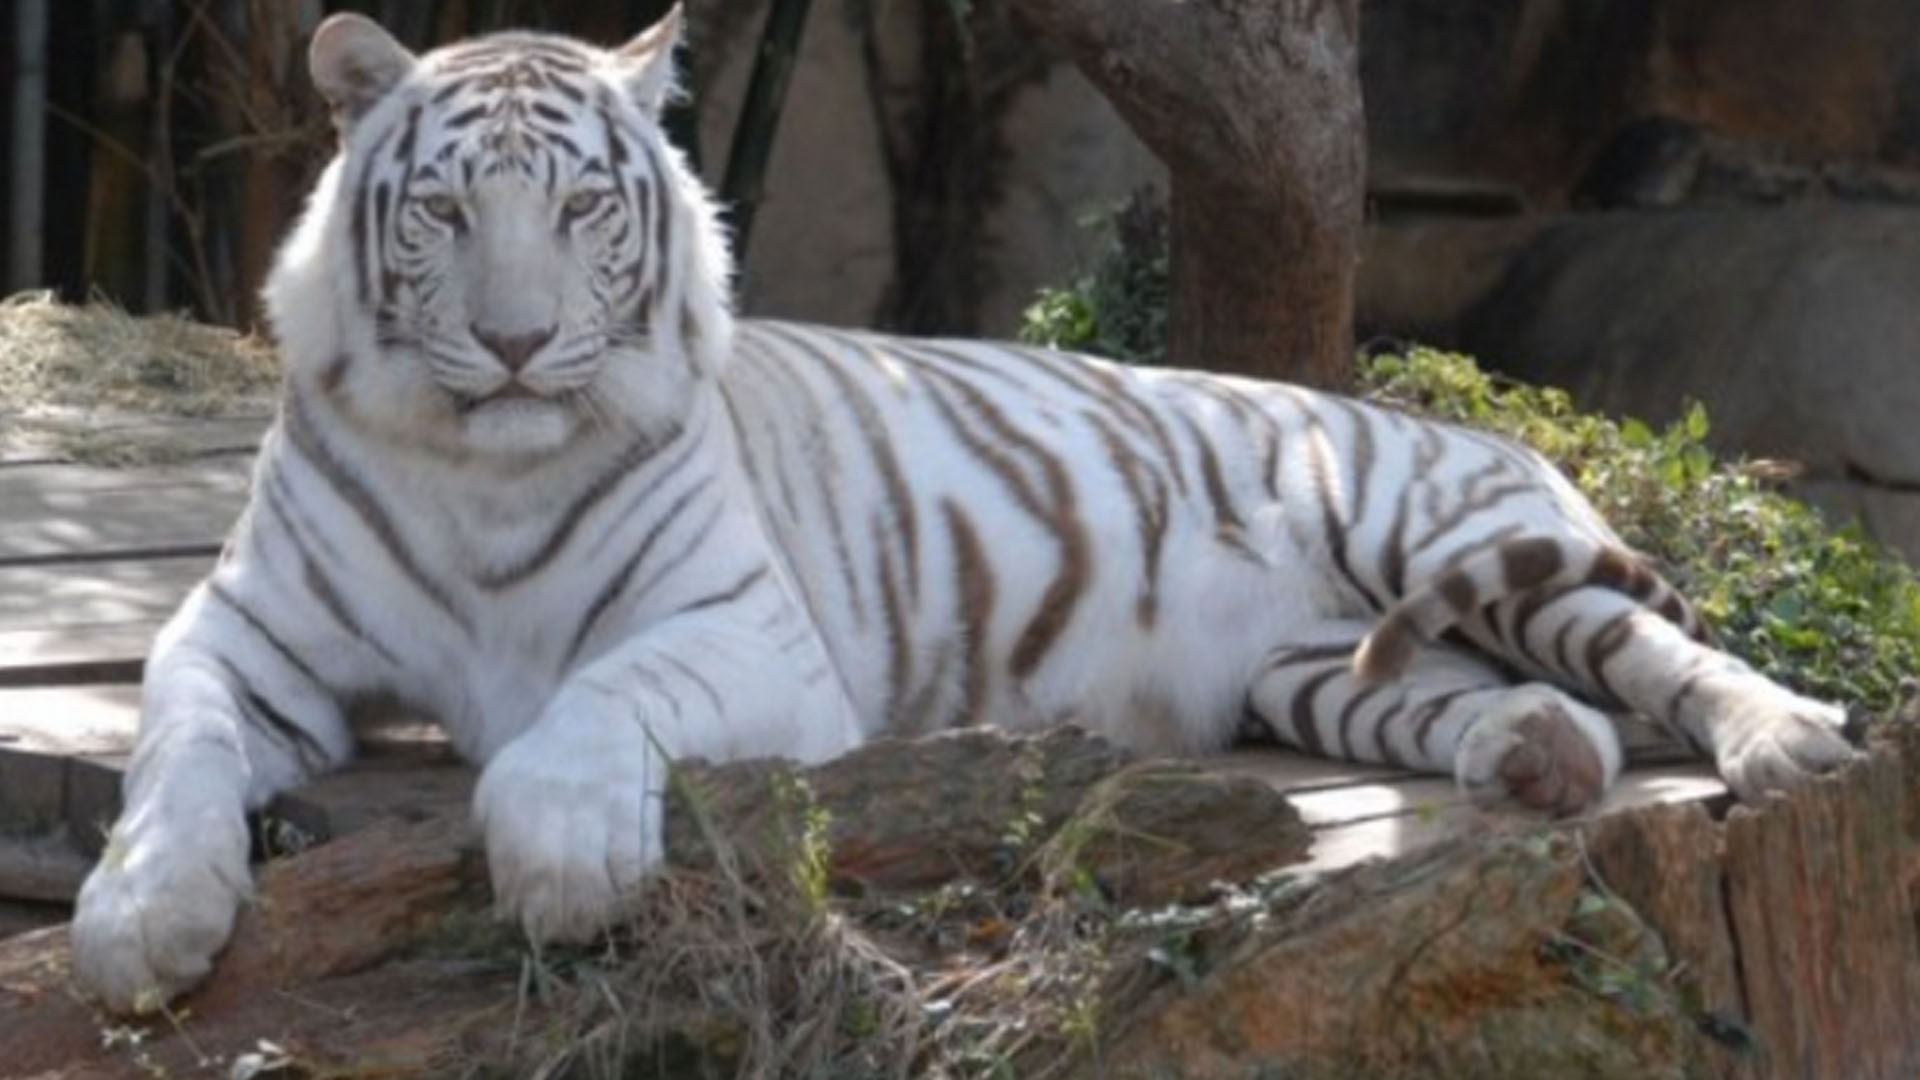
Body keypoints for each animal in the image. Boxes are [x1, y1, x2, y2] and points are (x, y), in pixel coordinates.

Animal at [71, 8, 1858, 1006]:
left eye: (580, 206)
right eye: (446, 209)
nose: (514, 344)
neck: (482, 464)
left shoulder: (745, 634)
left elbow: (586, 707)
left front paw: (566, 861)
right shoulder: (245, 633)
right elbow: (177, 750)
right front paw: (137, 926)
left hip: (1440, 534)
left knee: (1662, 654)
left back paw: (1793, 746)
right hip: (1326, 673)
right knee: (1518, 703)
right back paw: (1542, 758)